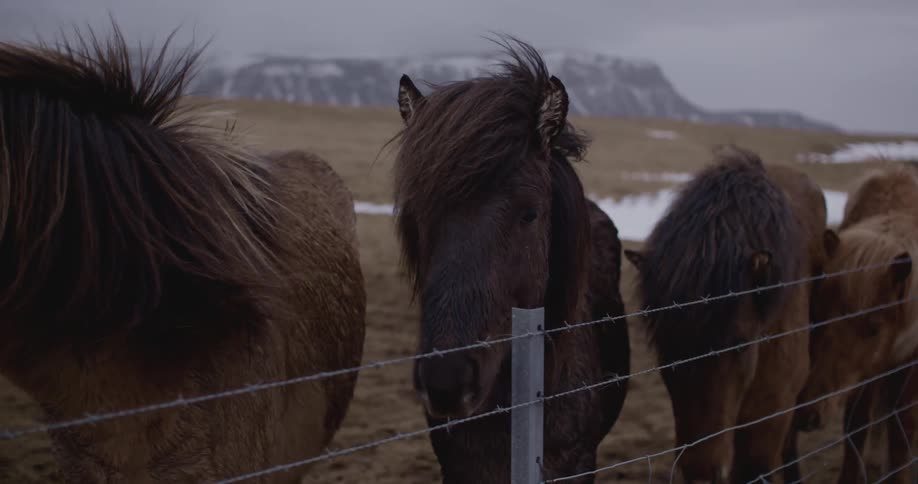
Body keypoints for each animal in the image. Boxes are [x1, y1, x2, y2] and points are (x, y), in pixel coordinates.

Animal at [797, 165, 918, 483]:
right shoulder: (862, 375)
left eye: (874, 328)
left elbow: (902, 432)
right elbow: (857, 426)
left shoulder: (907, 368)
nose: (808, 414)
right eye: (816, 315)